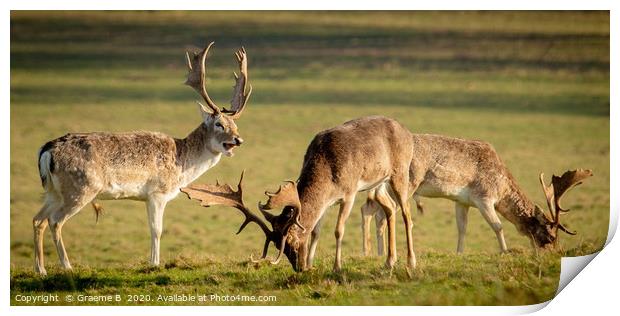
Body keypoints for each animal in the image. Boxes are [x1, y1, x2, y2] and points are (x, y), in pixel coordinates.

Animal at [32, 42, 252, 274]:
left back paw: (41, 270)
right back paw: (67, 266)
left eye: (235, 124)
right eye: (219, 124)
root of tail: (46, 151)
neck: (181, 165)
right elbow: (157, 229)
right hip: (80, 188)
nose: (238, 139)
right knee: (55, 221)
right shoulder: (157, 192)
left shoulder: (147, 197)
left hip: (53, 191)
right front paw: (154, 263)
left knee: (38, 220)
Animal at [184, 116, 416, 276]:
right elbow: (316, 231)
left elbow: (338, 230)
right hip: (379, 183)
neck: (328, 171)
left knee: (406, 213)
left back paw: (410, 262)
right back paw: (389, 261)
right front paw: (312, 264)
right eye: (279, 247)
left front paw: (337, 267)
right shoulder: (327, 202)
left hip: (400, 172)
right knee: (390, 208)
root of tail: (407, 131)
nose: (298, 267)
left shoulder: (349, 192)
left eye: (292, 243)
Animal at [358, 133, 592, 256]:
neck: (502, 187)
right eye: (550, 235)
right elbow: (498, 225)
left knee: (370, 208)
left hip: (383, 187)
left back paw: (374, 253)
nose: (554, 252)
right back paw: (380, 253)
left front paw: (459, 253)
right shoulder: (484, 197)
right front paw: (504, 252)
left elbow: (462, 228)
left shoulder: (461, 201)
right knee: (381, 213)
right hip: (407, 185)